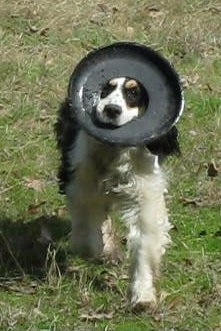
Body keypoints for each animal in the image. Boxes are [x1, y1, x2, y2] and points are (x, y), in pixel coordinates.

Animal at [54, 76, 180, 310]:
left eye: (134, 93)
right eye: (106, 89)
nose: (112, 109)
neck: (114, 151)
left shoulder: (145, 194)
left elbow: (144, 243)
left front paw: (143, 296)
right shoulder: (79, 184)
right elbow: (87, 227)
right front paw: (94, 249)